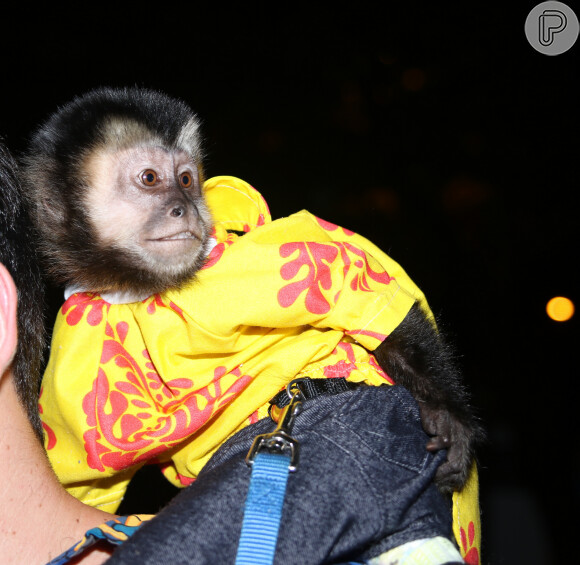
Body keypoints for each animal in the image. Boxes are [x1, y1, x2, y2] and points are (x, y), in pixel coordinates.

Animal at [22, 86, 482, 492]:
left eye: (186, 180)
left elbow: (353, 293)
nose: (185, 208)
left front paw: (449, 414)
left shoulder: (250, 264)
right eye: (150, 178)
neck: (142, 290)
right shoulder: (75, 345)